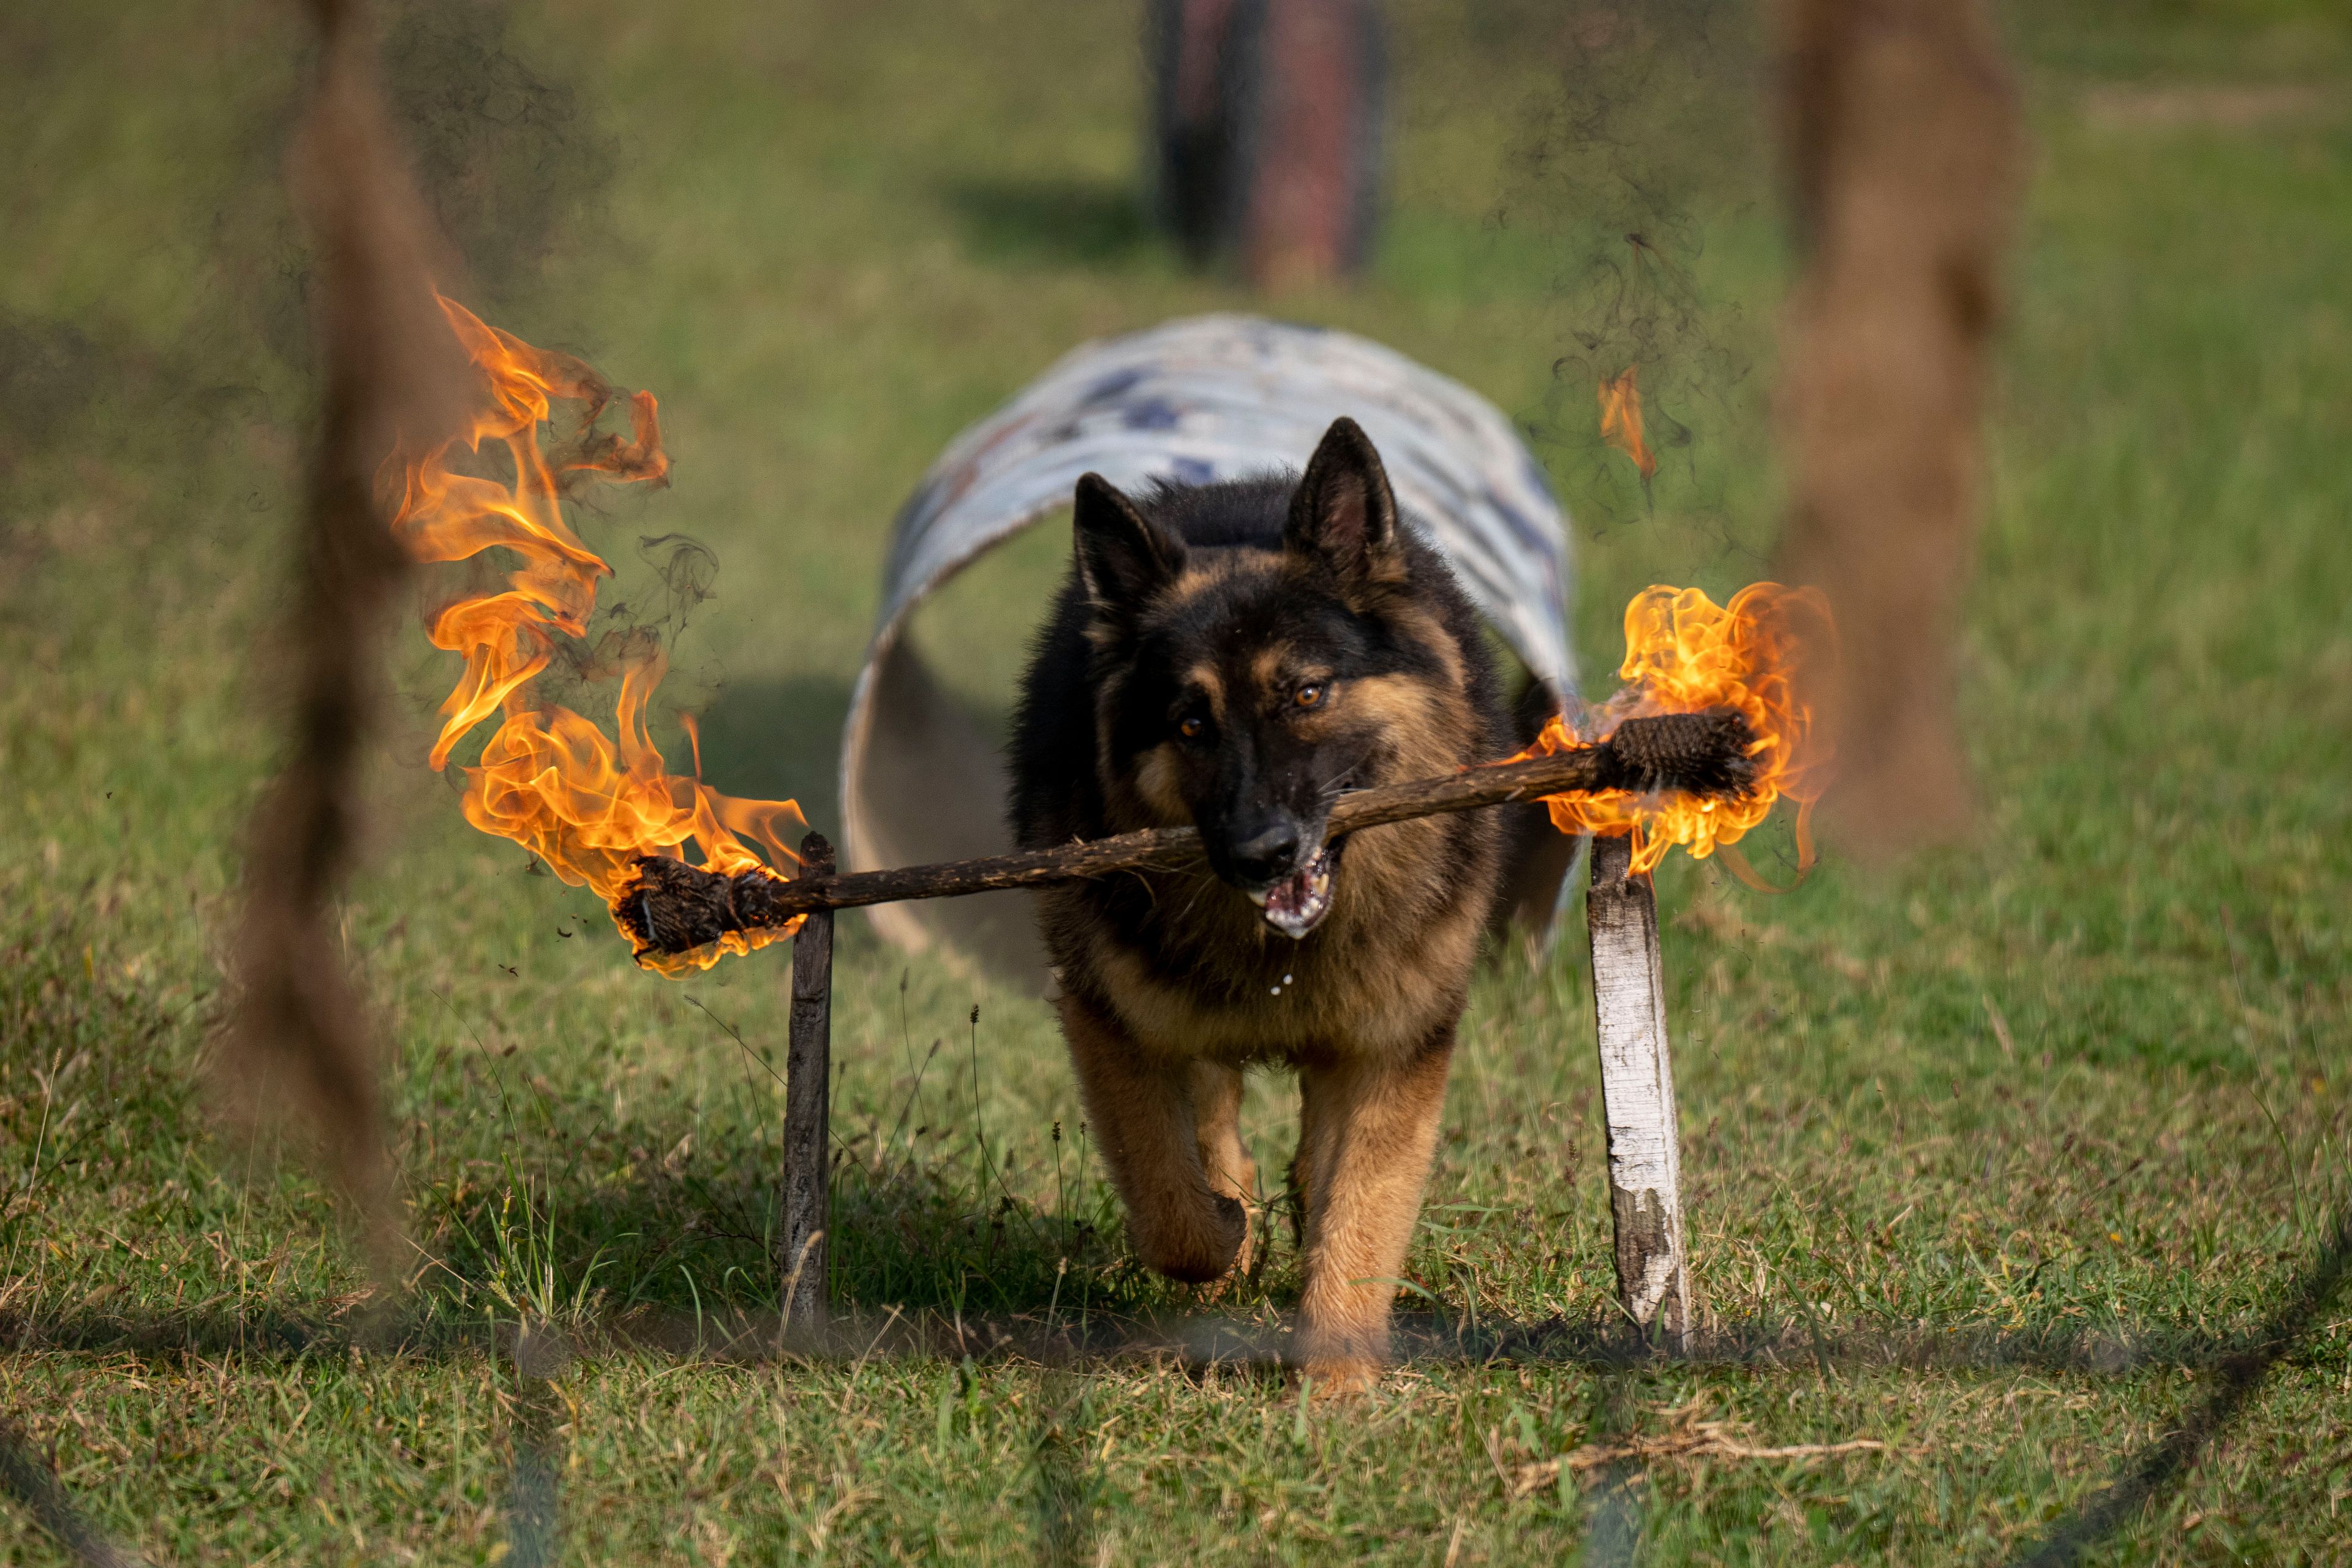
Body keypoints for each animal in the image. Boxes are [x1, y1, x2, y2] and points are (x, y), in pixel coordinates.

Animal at [1011, 421, 1505, 1401]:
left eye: (1306, 694)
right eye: (1190, 724)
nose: (1260, 853)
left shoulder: (1396, 1050)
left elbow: (1362, 1214)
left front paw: (1339, 1390)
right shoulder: (1110, 1022)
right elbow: (1170, 1205)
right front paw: (1227, 1235)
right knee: (1211, 1120)